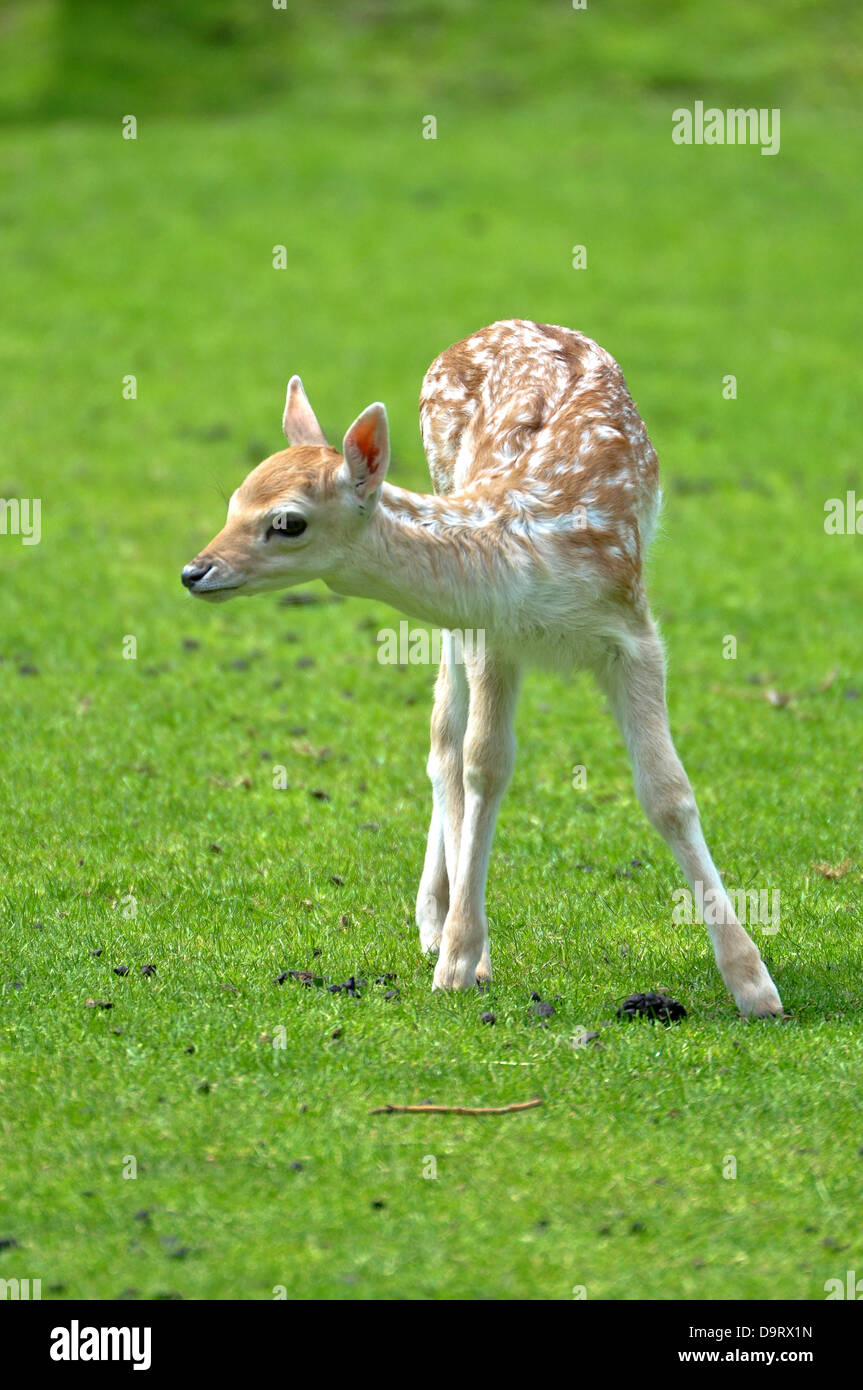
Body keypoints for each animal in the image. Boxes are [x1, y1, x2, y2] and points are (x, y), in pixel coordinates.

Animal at [182, 319, 778, 1017]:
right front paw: (459, 961)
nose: (196, 571)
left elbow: (668, 791)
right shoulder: (495, 634)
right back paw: (437, 924)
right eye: (232, 500)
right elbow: (483, 767)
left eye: (287, 521)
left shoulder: (631, 628)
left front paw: (754, 985)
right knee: (445, 739)